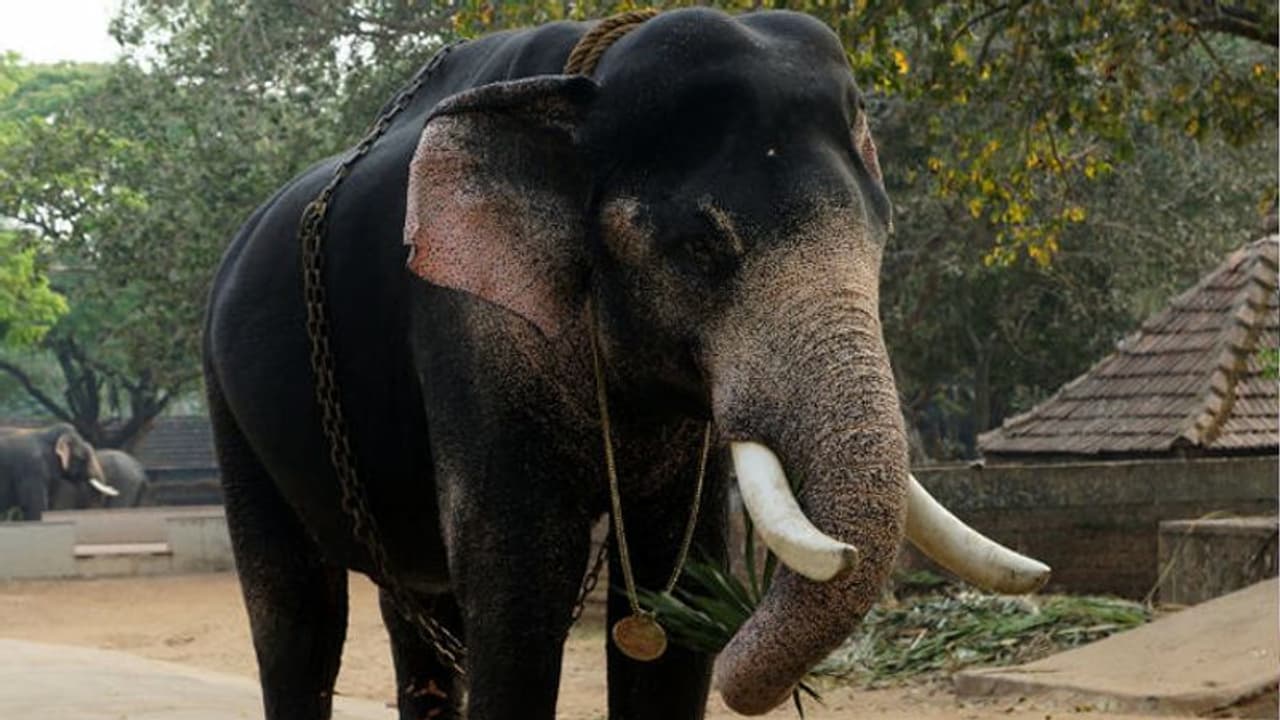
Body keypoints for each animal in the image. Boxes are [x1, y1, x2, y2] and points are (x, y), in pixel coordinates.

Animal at [203, 8, 1047, 720]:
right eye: (699, 248)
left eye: (881, 237)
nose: (750, 657)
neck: (583, 95)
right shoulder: (465, 327)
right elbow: (521, 581)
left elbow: (681, 572)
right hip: (226, 396)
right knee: (296, 615)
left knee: (413, 609)